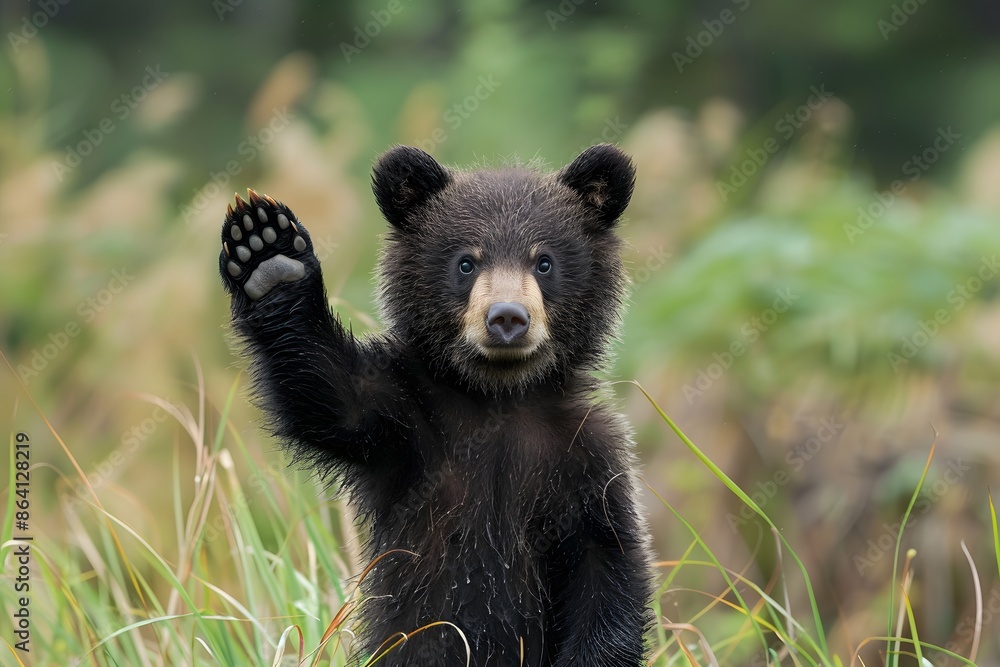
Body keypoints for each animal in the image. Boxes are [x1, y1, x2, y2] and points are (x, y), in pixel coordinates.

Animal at [218, 144, 654, 666]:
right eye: (466, 262)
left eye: (543, 262)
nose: (507, 318)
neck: (498, 398)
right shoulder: (409, 428)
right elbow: (333, 396)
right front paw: (266, 251)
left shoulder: (584, 458)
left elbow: (608, 562)